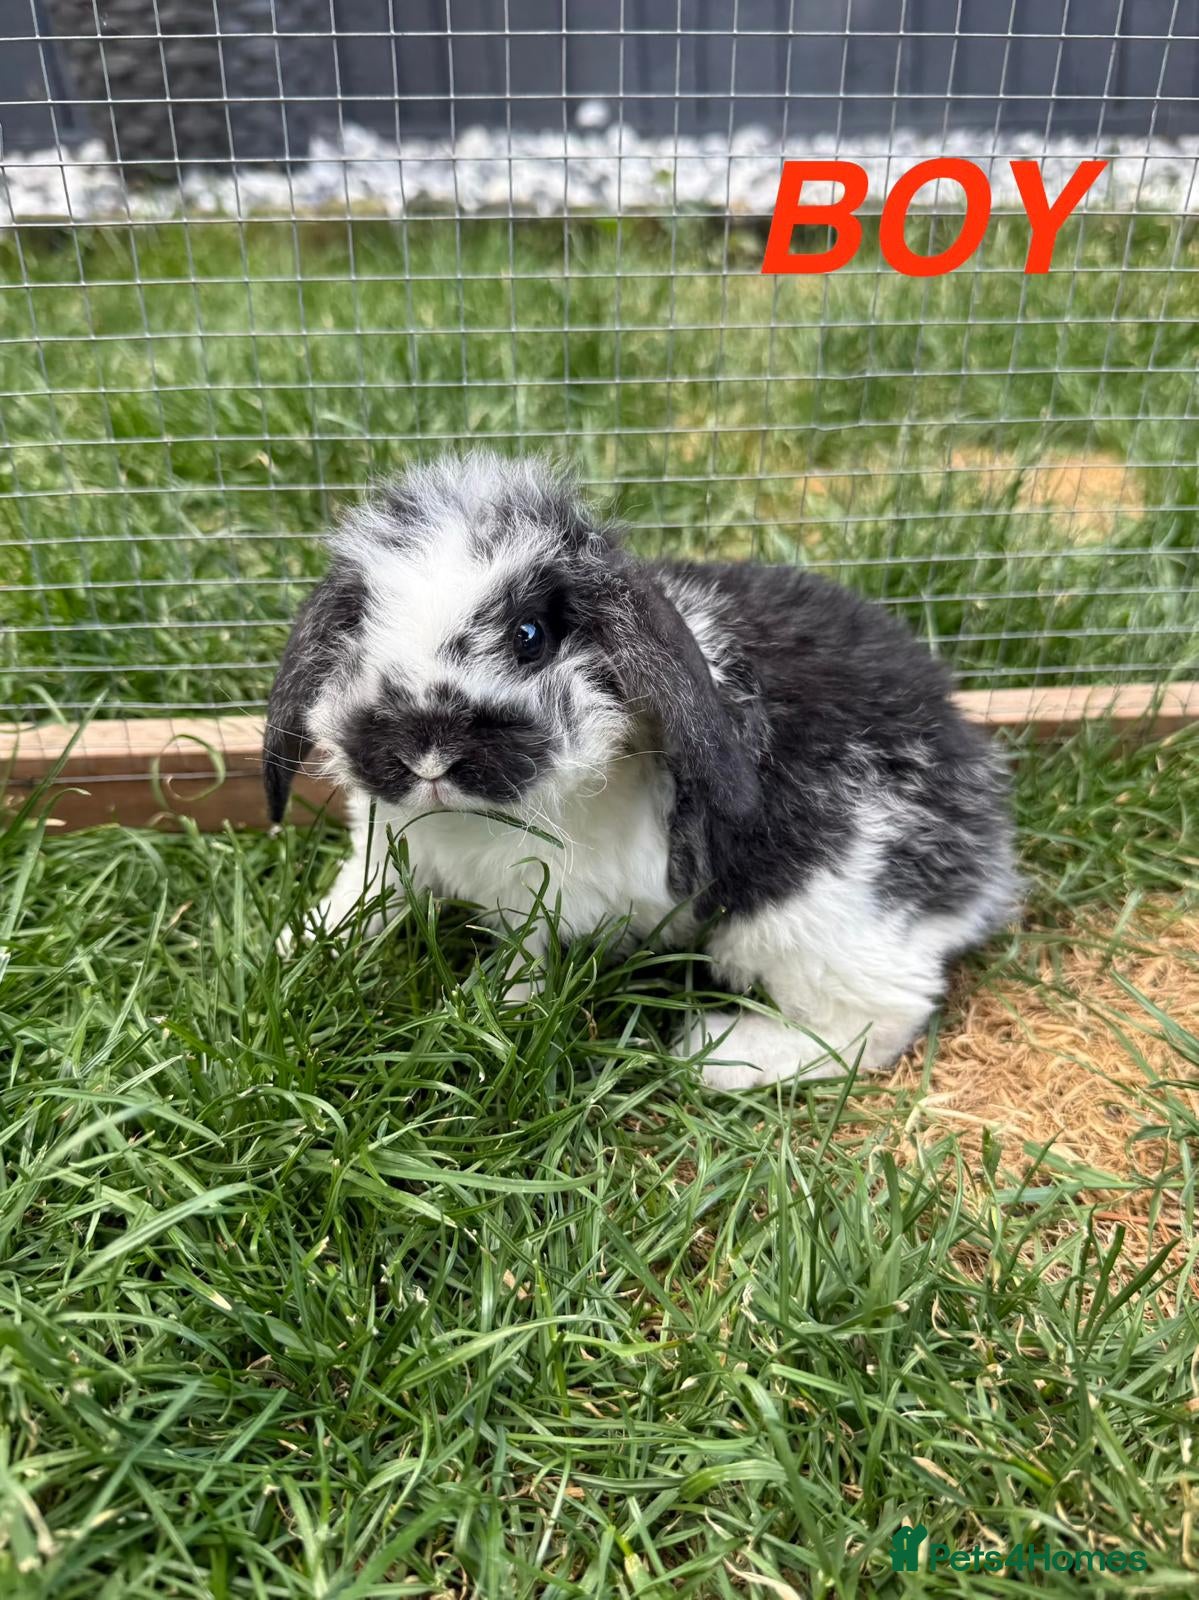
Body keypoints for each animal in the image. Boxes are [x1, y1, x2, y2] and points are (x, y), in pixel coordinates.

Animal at [264, 452, 1019, 1090]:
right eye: (356, 630)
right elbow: (358, 902)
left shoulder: (544, 899)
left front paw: (486, 1026)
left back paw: (717, 1055)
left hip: (812, 924)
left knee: (875, 1022)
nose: (427, 755)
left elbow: (522, 963)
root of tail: (985, 860)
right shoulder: (385, 852)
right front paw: (292, 952)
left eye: (530, 635)